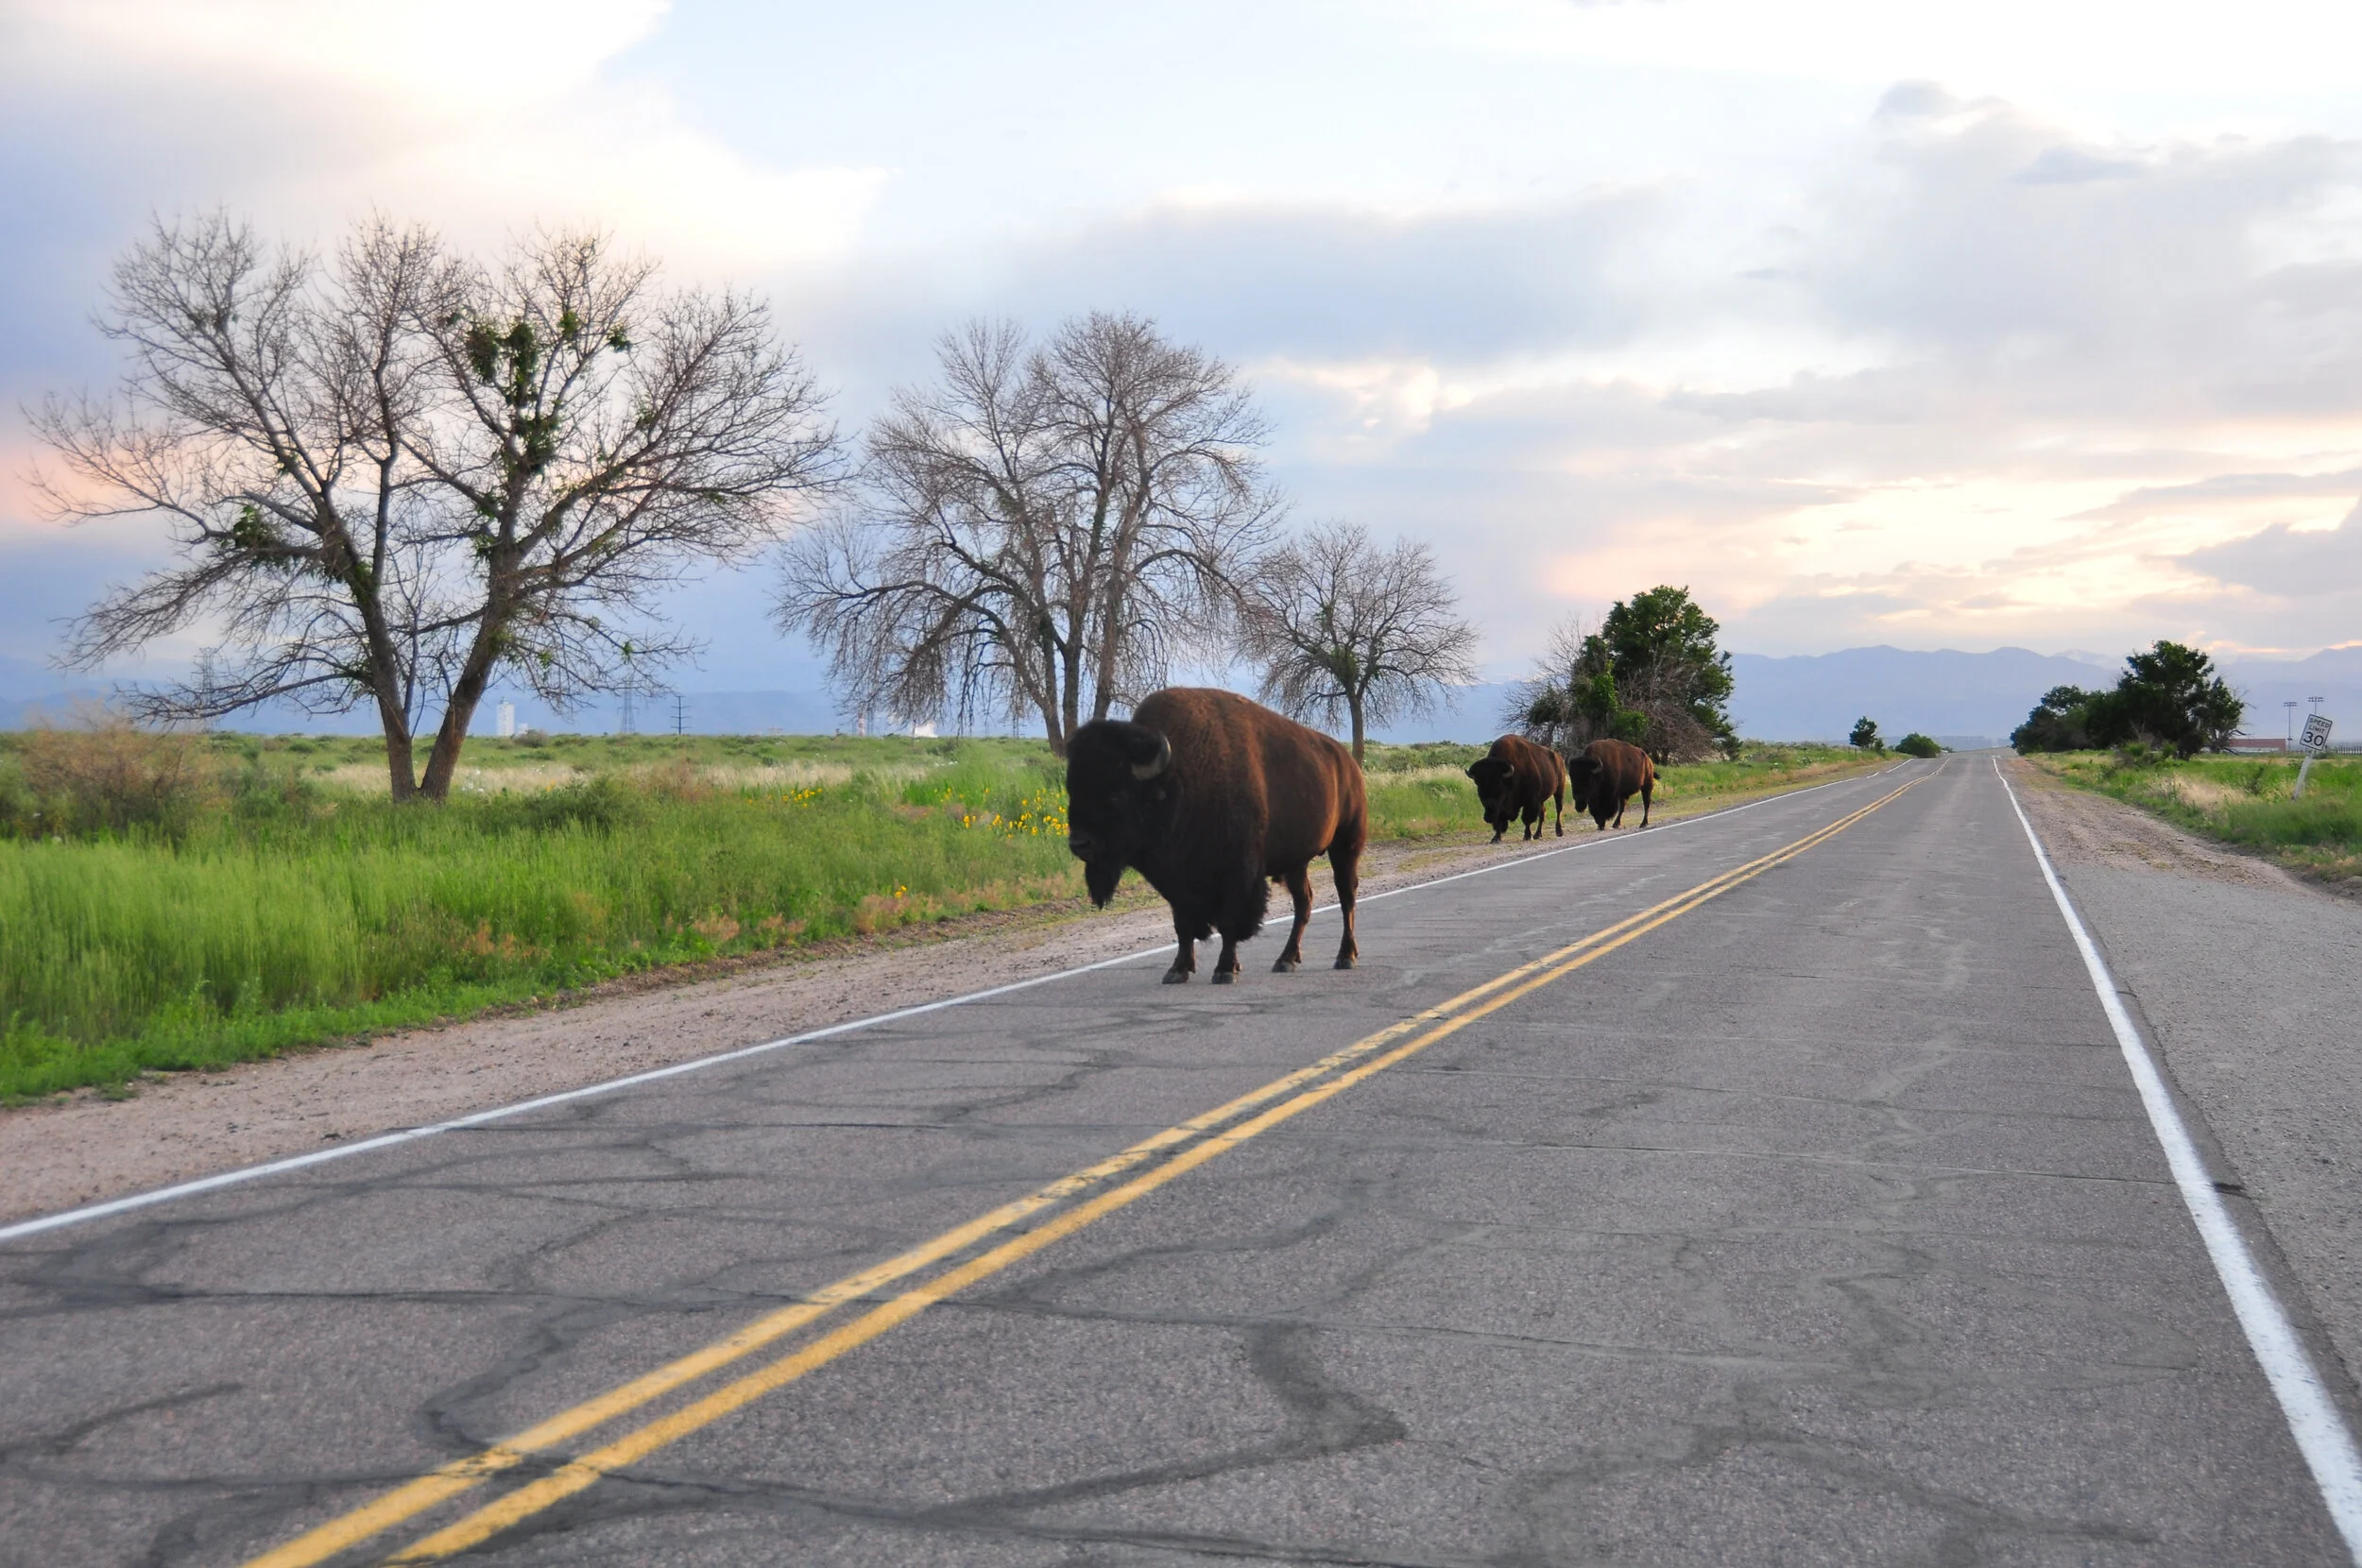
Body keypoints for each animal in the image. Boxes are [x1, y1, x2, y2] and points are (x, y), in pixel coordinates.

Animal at [1065, 688, 1366, 984]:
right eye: (1071, 789)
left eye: (1117, 794)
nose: (1079, 843)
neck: (1178, 780)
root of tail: (1348, 763)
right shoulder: (1177, 881)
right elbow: (1183, 925)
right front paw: (1178, 969)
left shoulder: (1236, 875)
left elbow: (1229, 923)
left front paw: (1225, 969)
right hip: (1296, 863)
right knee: (1304, 902)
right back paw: (1285, 960)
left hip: (1345, 846)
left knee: (1346, 895)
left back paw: (1345, 957)